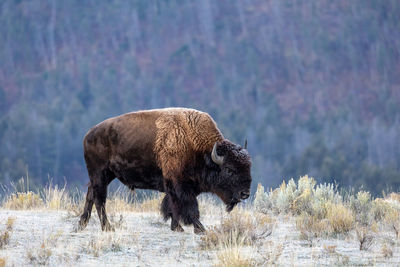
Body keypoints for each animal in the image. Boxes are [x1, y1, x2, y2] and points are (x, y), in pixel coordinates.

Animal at [78, 108, 252, 233]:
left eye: (248, 167)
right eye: (229, 170)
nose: (245, 193)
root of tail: (88, 135)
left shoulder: (180, 185)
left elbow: (173, 205)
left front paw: (177, 227)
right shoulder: (179, 184)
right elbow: (188, 207)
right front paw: (198, 228)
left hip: (106, 175)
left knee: (91, 194)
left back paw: (82, 223)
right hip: (100, 173)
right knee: (99, 199)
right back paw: (107, 227)